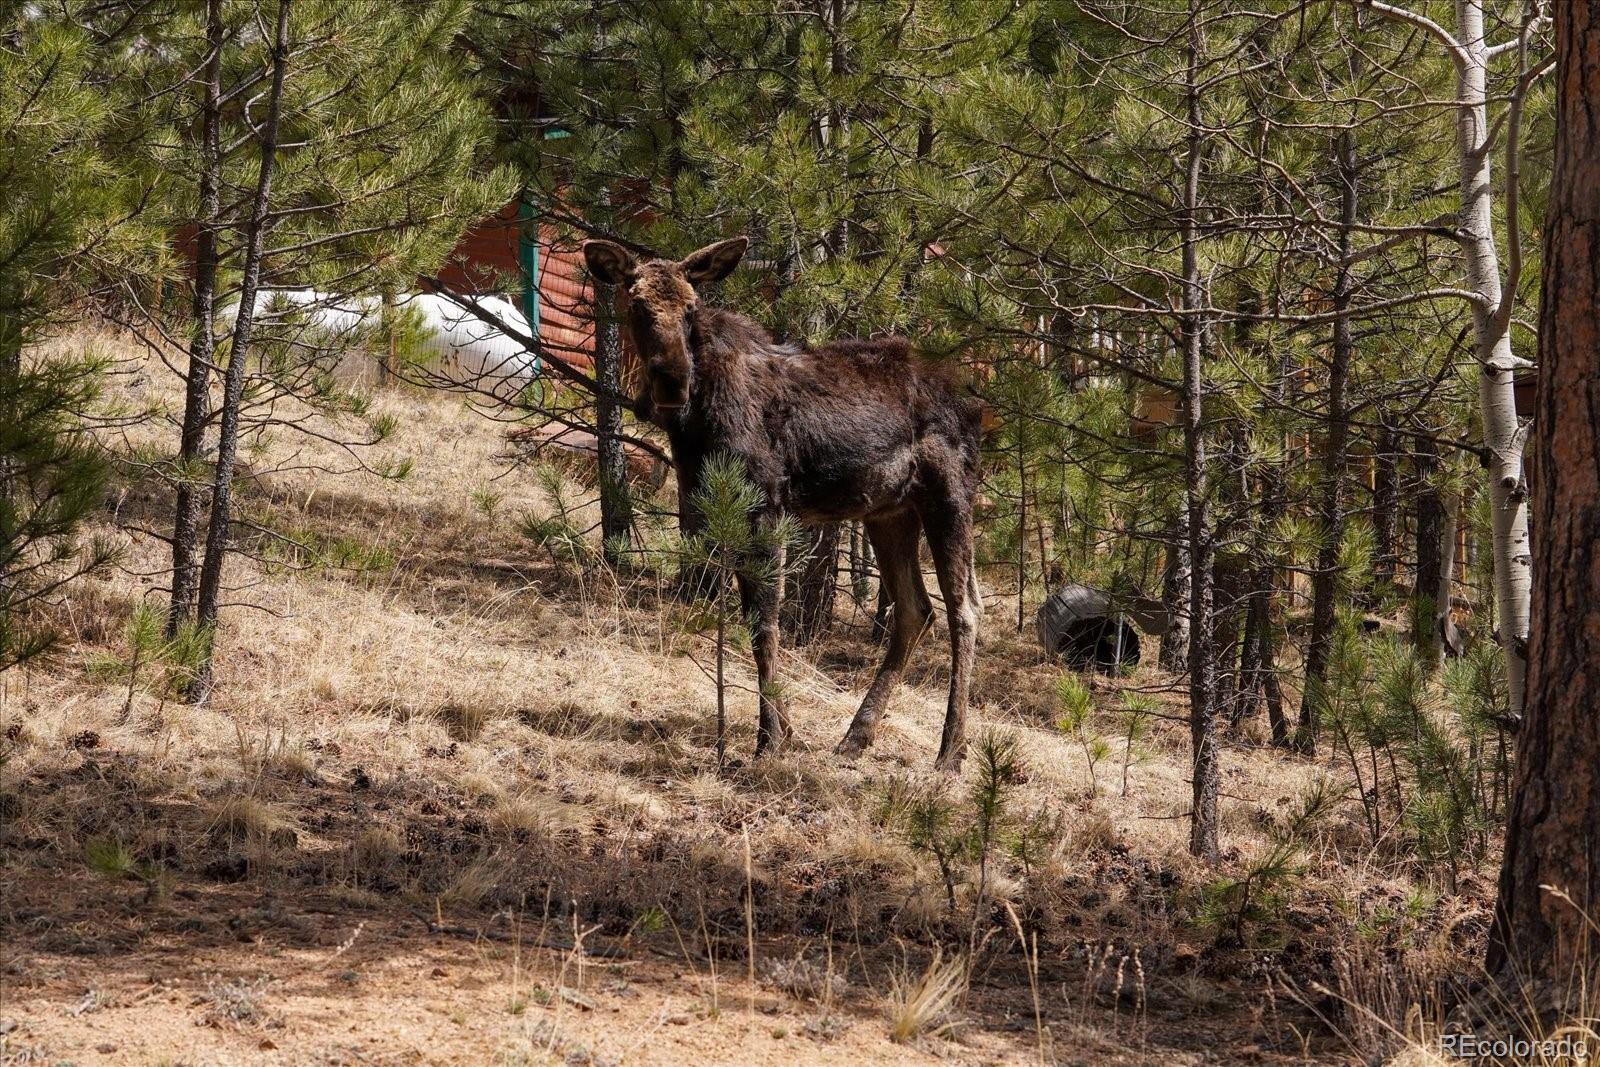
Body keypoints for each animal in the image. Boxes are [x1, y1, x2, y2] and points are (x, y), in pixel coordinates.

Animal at [585, 238, 985, 771]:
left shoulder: (766, 503)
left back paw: (951, 750)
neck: (694, 423)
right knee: (916, 609)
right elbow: (752, 617)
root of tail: (975, 407)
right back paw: (857, 736)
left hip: (950, 494)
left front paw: (770, 736)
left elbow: (764, 622)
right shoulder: (719, 506)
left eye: (691, 307)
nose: (672, 378)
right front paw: (785, 729)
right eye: (636, 305)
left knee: (965, 612)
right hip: (889, 511)